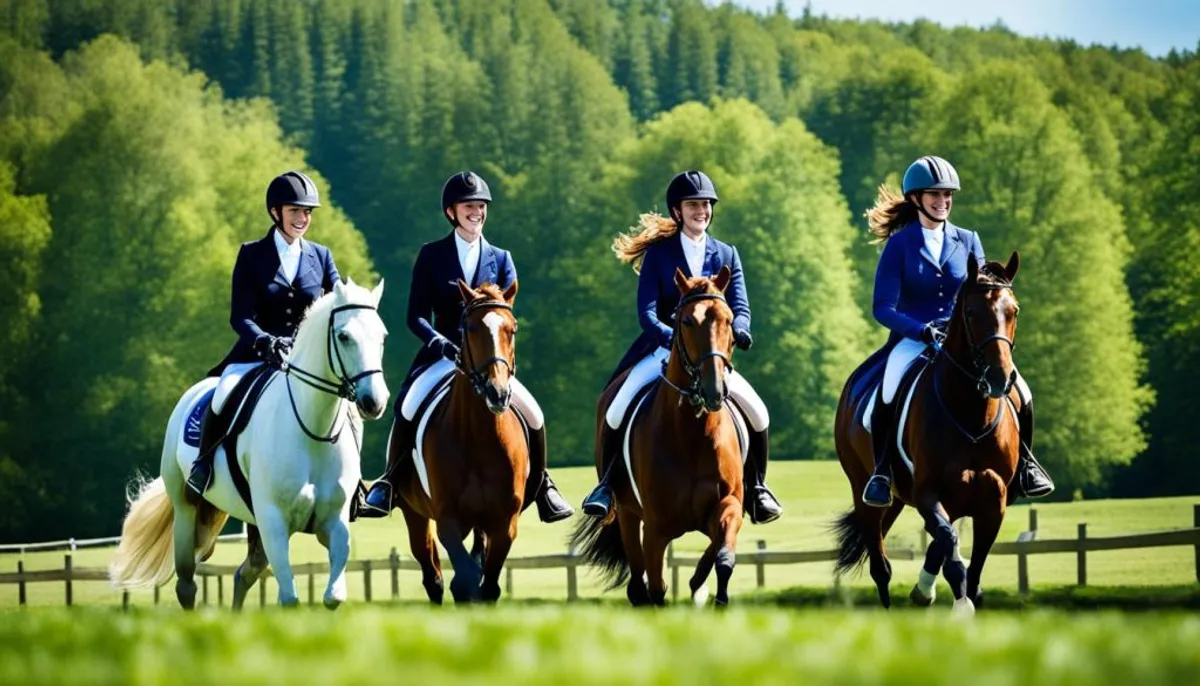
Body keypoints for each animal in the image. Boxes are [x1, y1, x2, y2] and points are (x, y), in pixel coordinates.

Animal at [108, 278, 388, 611]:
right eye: (344, 336)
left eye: (382, 337)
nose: (375, 402)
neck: (312, 430)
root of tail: (190, 395)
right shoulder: (274, 521)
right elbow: (290, 599)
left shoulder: (335, 521)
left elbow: (333, 597)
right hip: (187, 511)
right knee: (187, 584)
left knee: (244, 574)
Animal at [391, 281, 528, 602]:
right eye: (471, 327)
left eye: (512, 329)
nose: (497, 393)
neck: (480, 437)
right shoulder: (447, 518)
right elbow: (465, 577)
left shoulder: (504, 522)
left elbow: (487, 584)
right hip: (414, 514)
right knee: (432, 576)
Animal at [568, 266, 739, 604]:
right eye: (686, 321)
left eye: (728, 319)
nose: (713, 390)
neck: (692, 434)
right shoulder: (656, 528)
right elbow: (657, 588)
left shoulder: (729, 505)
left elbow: (723, 556)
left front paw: (709, 592)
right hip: (627, 513)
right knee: (638, 584)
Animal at [835, 254, 1022, 614]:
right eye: (971, 312)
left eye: (1014, 310)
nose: (1000, 377)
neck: (971, 415)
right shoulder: (928, 492)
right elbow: (950, 543)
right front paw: (960, 604)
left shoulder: (994, 497)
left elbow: (973, 558)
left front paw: (961, 594)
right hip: (866, 491)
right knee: (881, 565)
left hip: (906, 498)